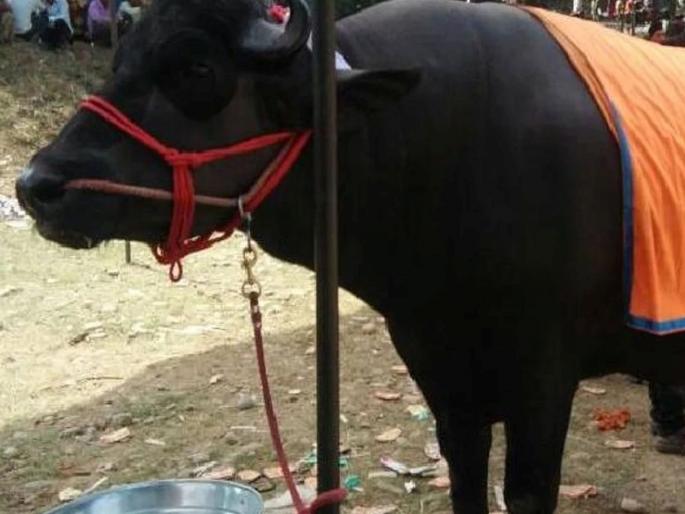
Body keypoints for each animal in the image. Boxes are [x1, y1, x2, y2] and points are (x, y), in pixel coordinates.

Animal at [14, 0, 685, 512]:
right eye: (120, 60)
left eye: (197, 68)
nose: (36, 184)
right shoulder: (435, 366)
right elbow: (466, 479)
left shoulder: (543, 375)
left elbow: (524, 492)